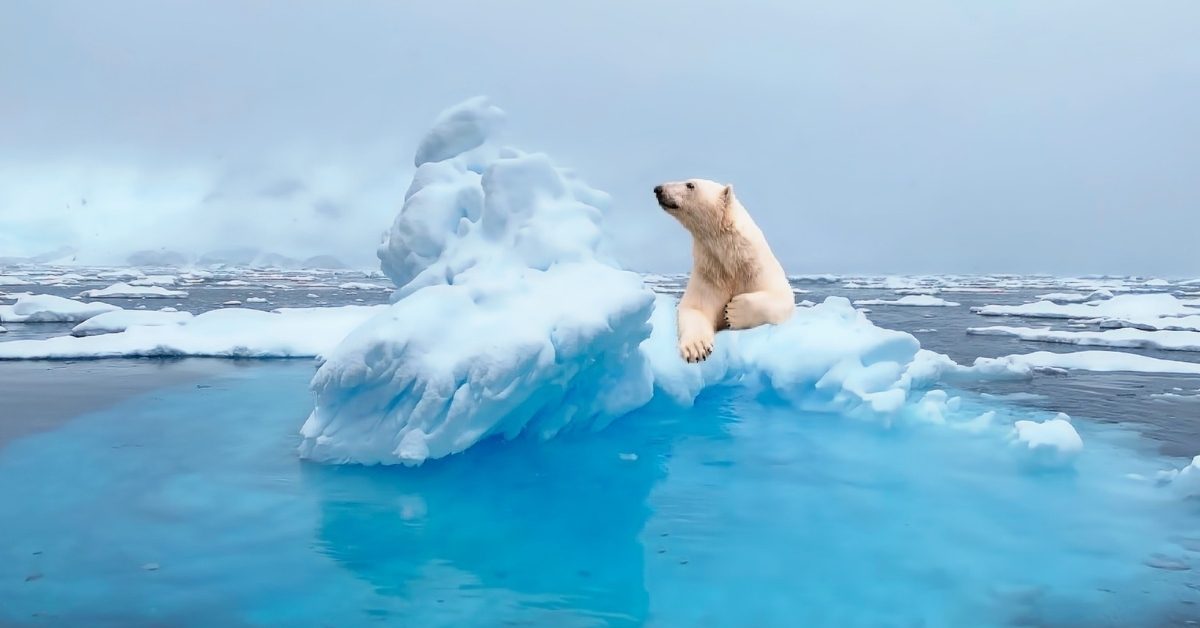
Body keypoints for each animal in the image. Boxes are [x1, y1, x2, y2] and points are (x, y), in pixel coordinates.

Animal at [652, 177, 792, 362]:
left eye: (690, 185)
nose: (658, 189)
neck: (732, 262)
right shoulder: (709, 274)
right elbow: (696, 308)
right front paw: (697, 349)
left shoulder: (757, 268)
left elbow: (782, 297)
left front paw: (733, 311)